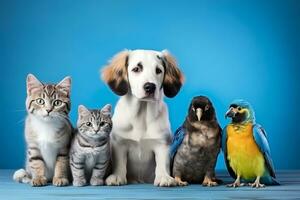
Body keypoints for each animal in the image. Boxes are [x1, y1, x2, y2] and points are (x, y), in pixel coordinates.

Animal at [102, 48, 184, 186]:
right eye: (136, 69)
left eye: (158, 70)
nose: (150, 87)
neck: (141, 115)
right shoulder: (119, 143)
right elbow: (120, 163)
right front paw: (117, 176)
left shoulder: (162, 144)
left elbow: (162, 163)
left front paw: (164, 177)